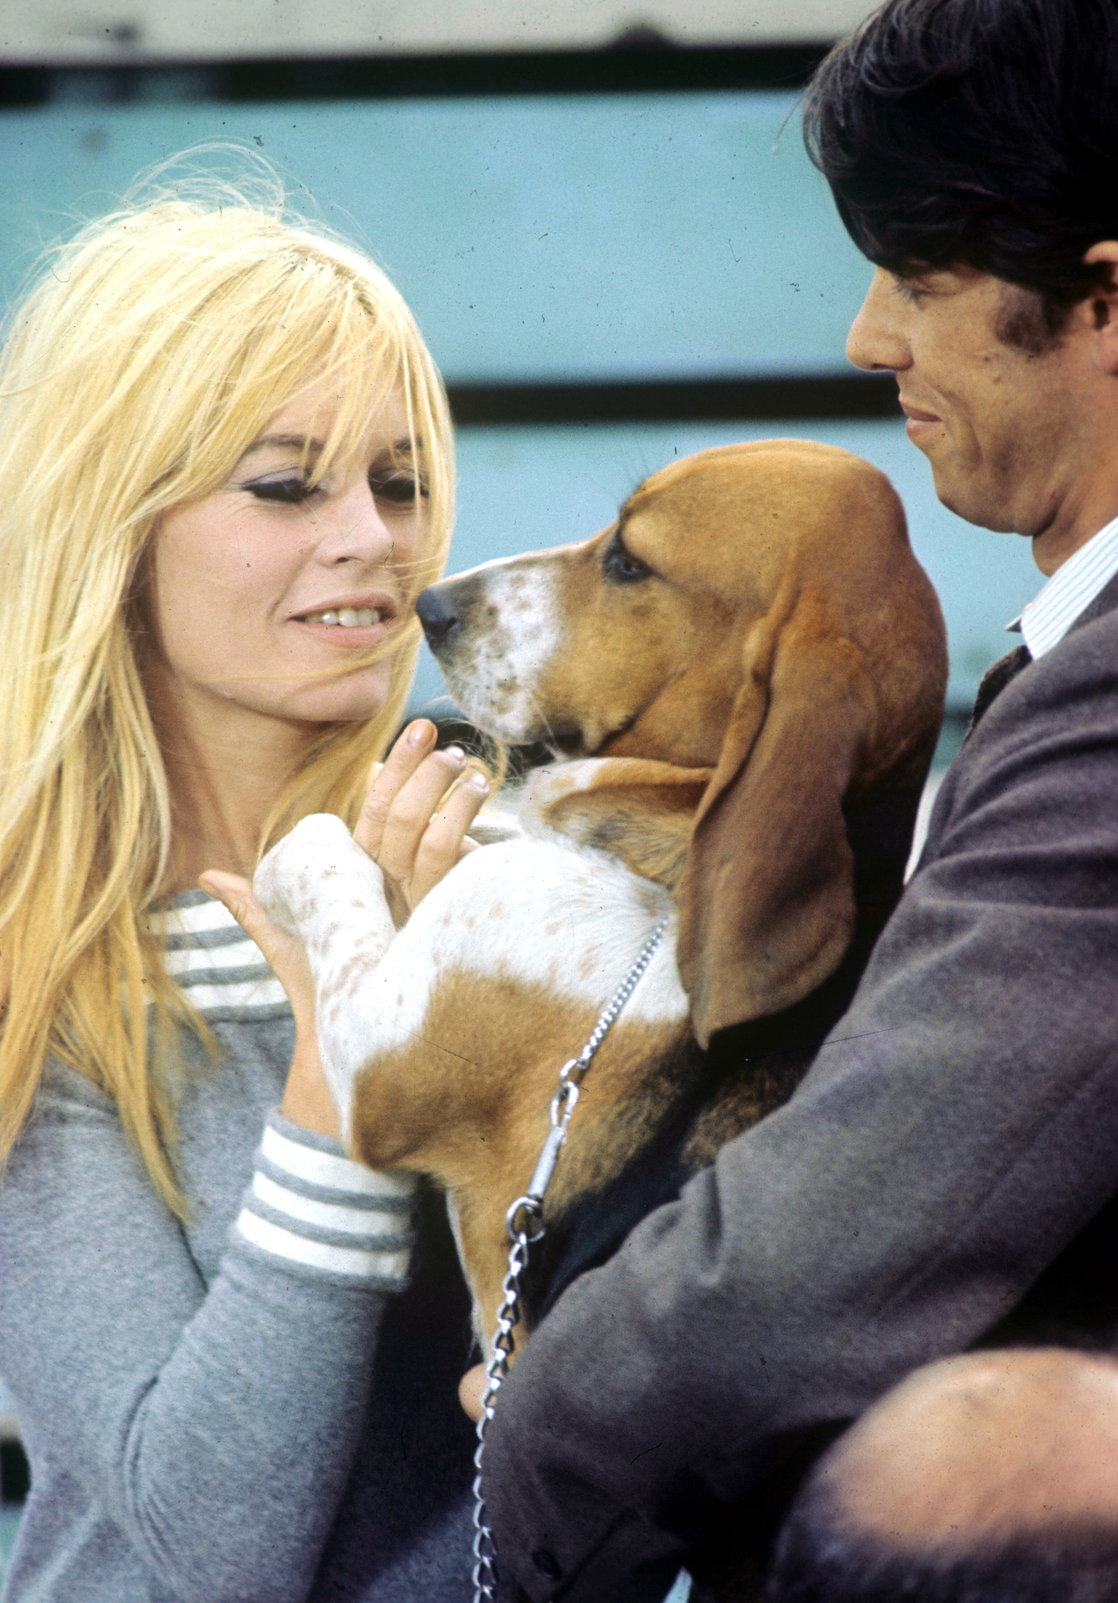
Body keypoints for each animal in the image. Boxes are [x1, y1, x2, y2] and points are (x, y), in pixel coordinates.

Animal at [254, 439, 947, 1343]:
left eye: (629, 562)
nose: (432, 606)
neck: (664, 875)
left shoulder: (375, 1056)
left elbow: (321, 845)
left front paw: (279, 856)